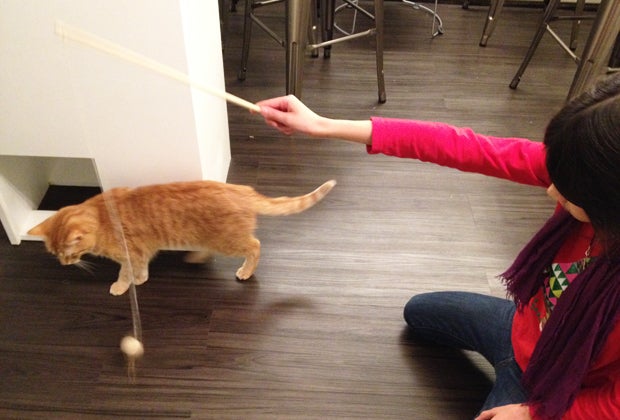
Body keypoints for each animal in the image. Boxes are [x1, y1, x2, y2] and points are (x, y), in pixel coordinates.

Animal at [28, 179, 336, 295]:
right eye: (55, 254)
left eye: (69, 254)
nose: (64, 265)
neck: (102, 216)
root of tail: (241, 189)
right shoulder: (141, 252)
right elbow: (142, 267)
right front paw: (142, 278)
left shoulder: (130, 253)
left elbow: (126, 272)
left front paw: (123, 285)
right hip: (210, 238)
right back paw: (195, 256)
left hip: (229, 241)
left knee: (255, 246)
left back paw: (245, 271)